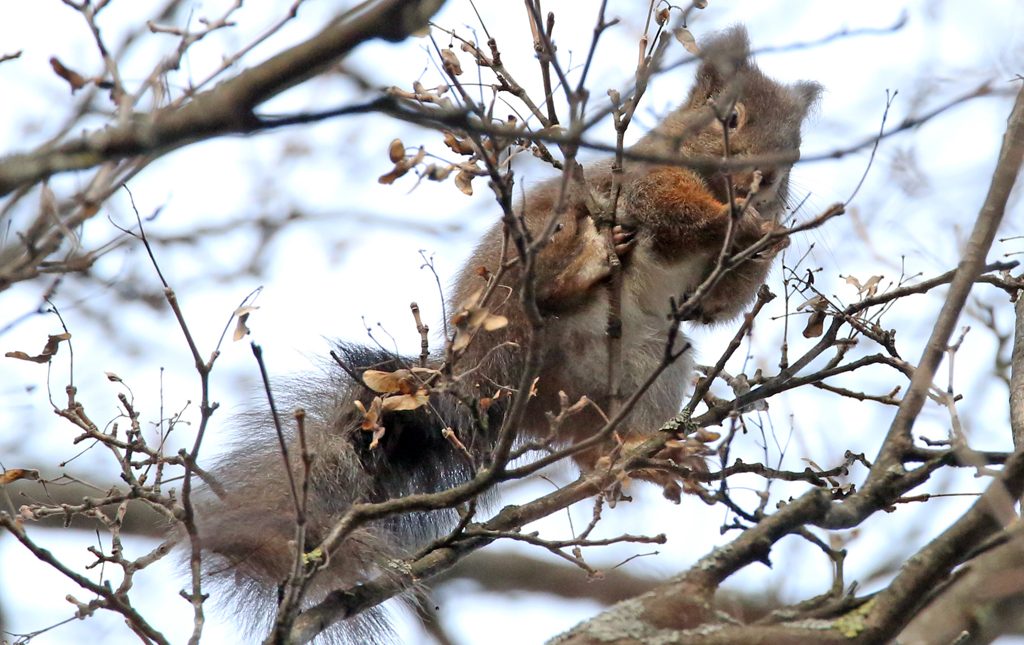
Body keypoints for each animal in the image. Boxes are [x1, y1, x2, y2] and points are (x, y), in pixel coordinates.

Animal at [190, 24, 815, 642]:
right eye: (730, 117)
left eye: (796, 150)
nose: (765, 178)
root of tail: (482, 384)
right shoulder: (642, 181)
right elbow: (673, 207)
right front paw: (735, 216)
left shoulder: (708, 291)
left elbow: (717, 304)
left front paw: (770, 233)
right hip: (526, 260)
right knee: (548, 285)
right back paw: (576, 276)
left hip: (650, 367)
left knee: (593, 441)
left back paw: (634, 451)